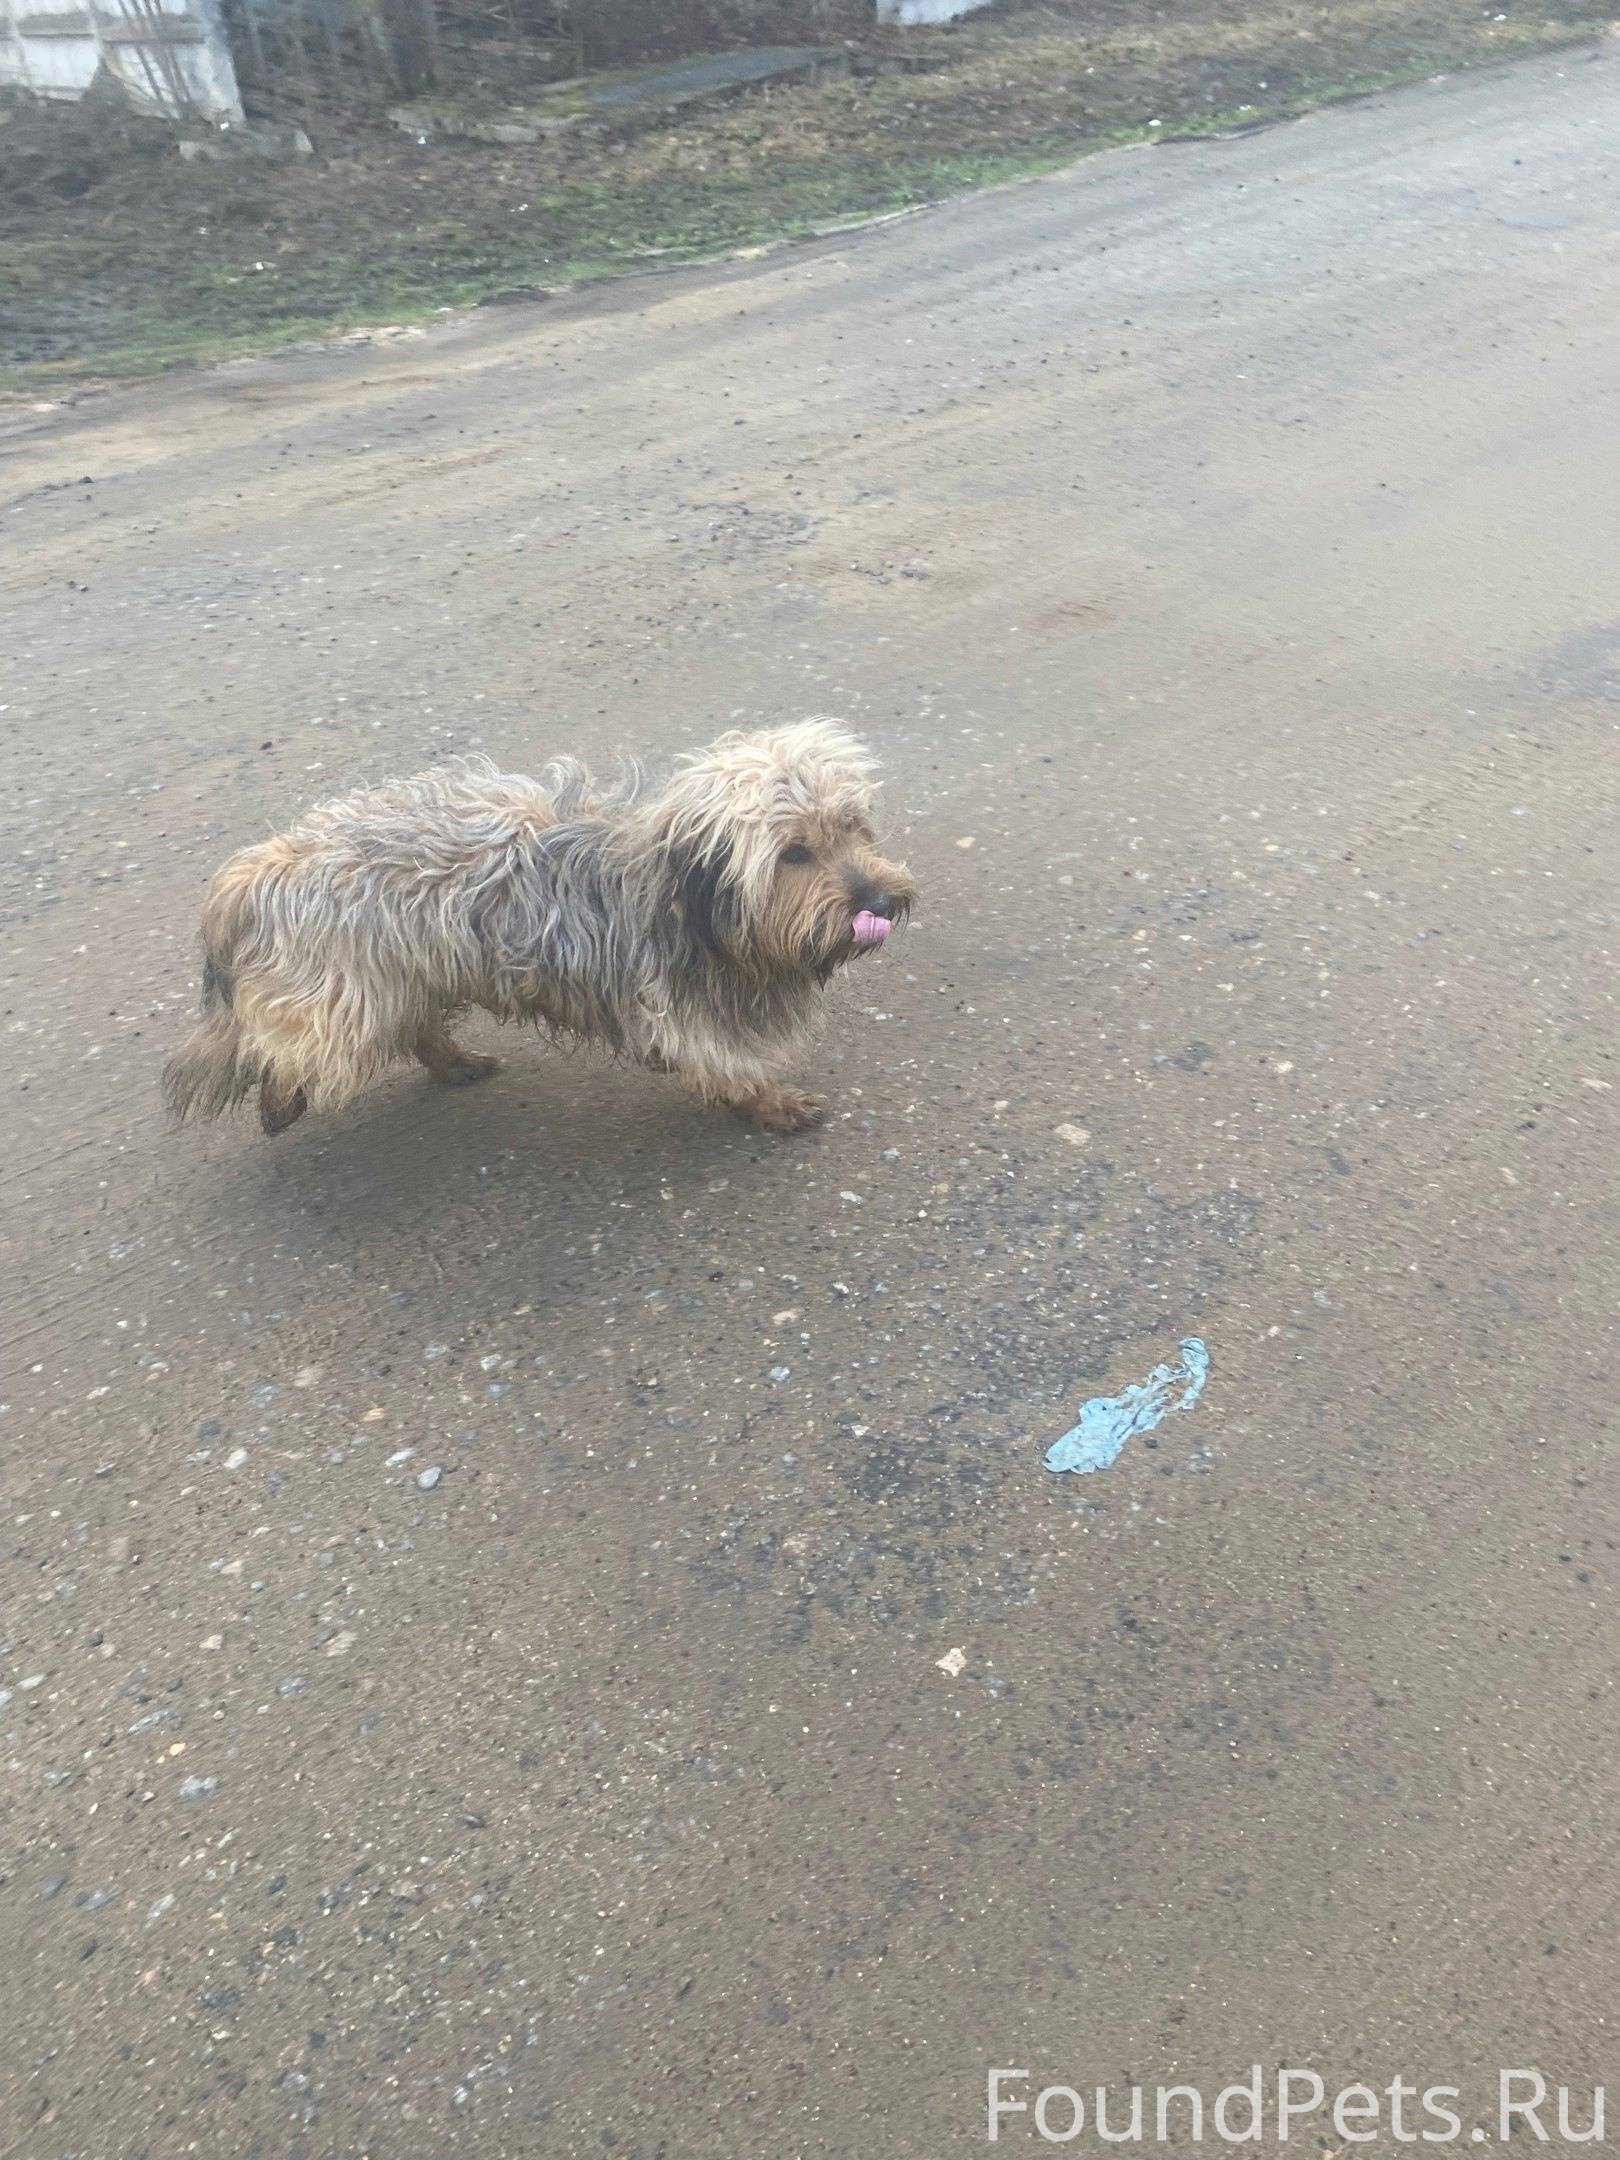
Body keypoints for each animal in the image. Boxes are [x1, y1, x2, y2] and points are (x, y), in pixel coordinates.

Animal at [162, 721, 915, 1139]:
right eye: (793, 852)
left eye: (852, 825)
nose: (882, 900)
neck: (687, 902)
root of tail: (263, 863)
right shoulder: (686, 1010)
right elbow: (726, 1066)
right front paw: (770, 1104)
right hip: (345, 993)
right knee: (283, 1046)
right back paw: (278, 1096)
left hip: (403, 969)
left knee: (410, 1025)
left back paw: (452, 1061)